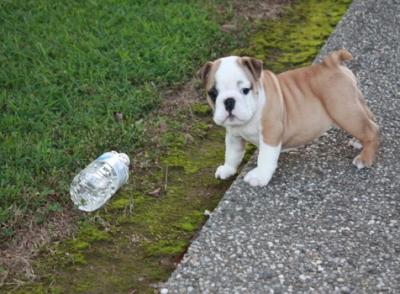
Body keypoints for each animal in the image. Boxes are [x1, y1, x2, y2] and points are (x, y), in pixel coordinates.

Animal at [199, 48, 378, 186]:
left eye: (245, 90)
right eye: (213, 93)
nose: (229, 101)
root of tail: (331, 63)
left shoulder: (271, 132)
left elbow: (265, 157)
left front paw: (259, 176)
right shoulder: (233, 136)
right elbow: (232, 153)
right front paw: (228, 169)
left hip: (344, 111)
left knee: (371, 130)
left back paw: (364, 159)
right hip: (354, 105)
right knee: (369, 118)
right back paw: (358, 141)